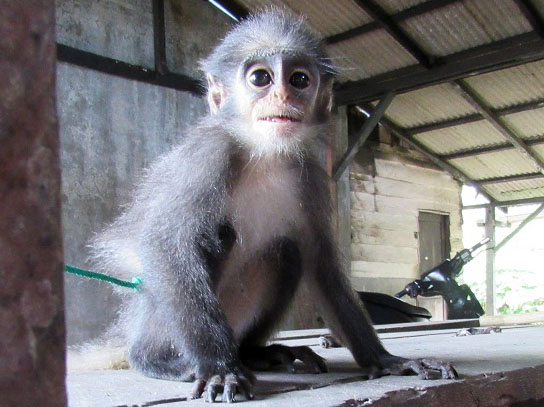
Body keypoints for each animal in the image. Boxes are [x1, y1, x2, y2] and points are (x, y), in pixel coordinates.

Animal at [90, 8, 460, 404]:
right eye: (260, 78)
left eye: (299, 79)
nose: (283, 94)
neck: (264, 153)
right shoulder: (208, 155)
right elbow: (166, 244)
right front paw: (220, 369)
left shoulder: (309, 176)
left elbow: (320, 261)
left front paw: (385, 360)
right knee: (212, 239)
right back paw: (157, 358)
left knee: (285, 251)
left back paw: (256, 353)